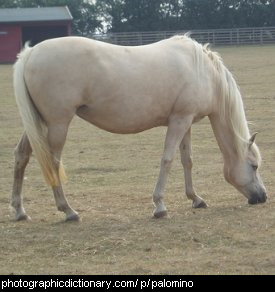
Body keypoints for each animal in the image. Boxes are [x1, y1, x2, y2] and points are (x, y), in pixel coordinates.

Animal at [12, 34, 268, 221]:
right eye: (254, 166)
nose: (262, 197)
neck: (203, 72)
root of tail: (31, 53)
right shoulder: (179, 121)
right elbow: (168, 160)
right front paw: (159, 206)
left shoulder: (186, 122)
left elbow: (187, 161)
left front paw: (196, 199)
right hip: (58, 124)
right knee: (53, 163)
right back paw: (68, 210)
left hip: (39, 123)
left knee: (22, 155)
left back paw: (19, 210)